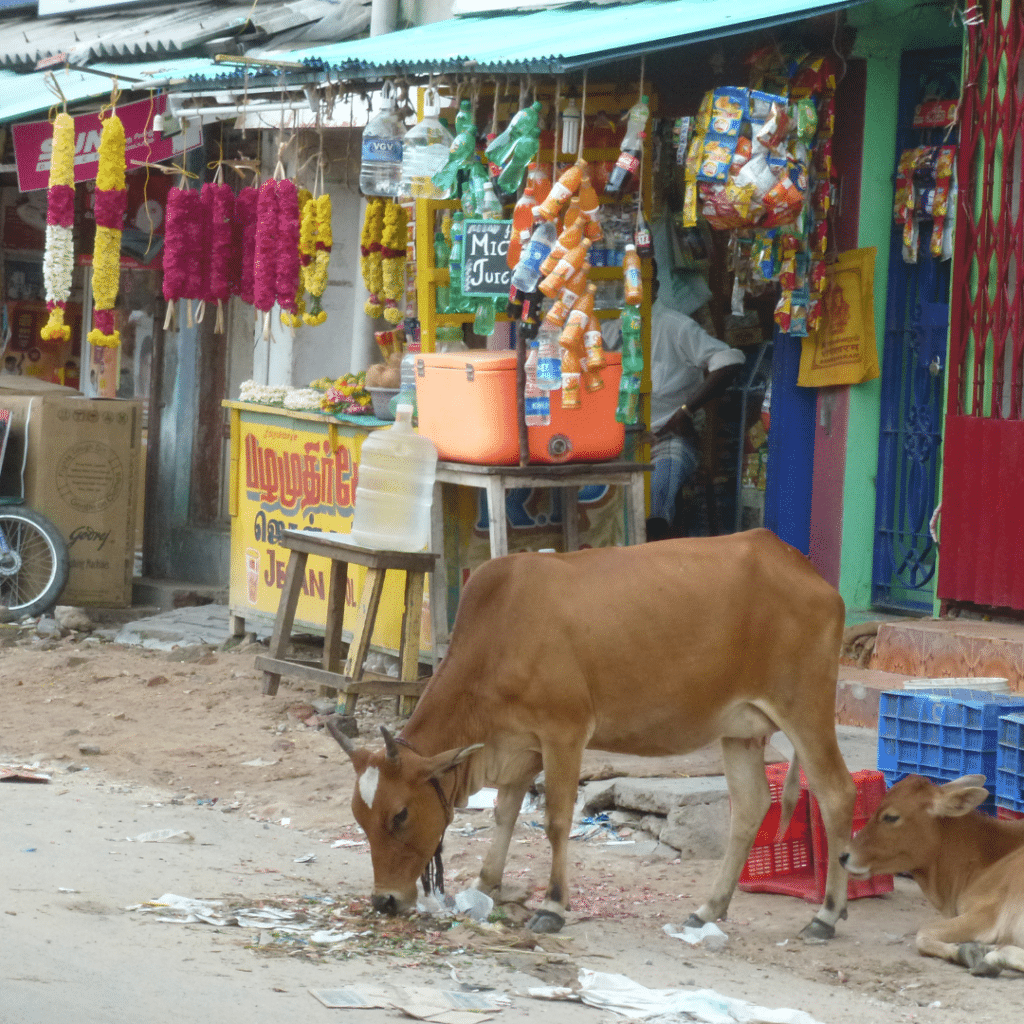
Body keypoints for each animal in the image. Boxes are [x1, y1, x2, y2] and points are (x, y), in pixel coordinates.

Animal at [327, 532, 856, 937]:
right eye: (359, 816)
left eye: (399, 815)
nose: (384, 901)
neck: (497, 637)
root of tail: (801, 566)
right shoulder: (520, 746)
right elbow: (504, 814)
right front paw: (484, 886)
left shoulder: (564, 733)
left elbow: (557, 820)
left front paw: (552, 906)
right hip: (740, 729)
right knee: (749, 807)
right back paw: (709, 908)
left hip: (805, 709)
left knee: (835, 794)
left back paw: (827, 916)